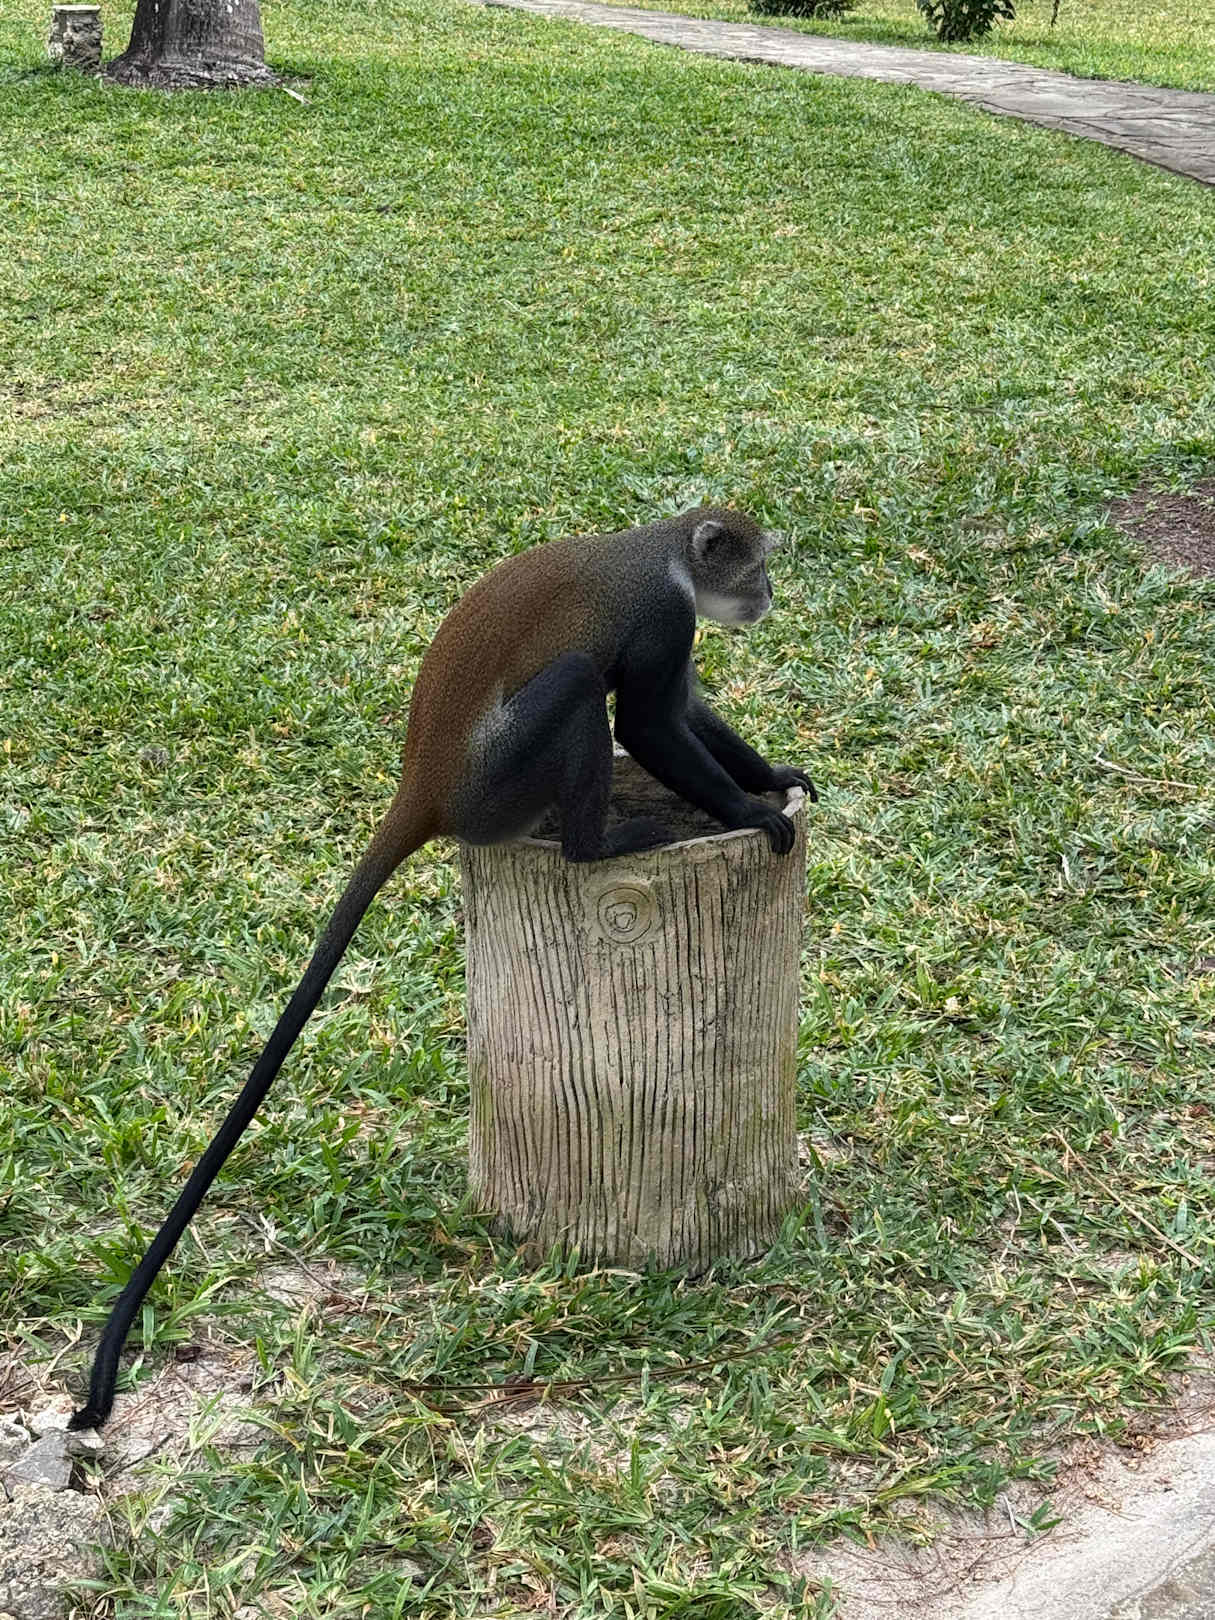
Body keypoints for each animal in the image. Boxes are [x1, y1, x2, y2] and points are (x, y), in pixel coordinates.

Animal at [69, 505, 816, 1431]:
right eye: (753, 568)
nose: (769, 593)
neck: (667, 553)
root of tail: (422, 785)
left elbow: (684, 710)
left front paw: (770, 777)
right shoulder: (660, 619)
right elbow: (649, 724)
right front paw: (749, 811)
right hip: (500, 776)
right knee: (578, 685)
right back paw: (594, 845)